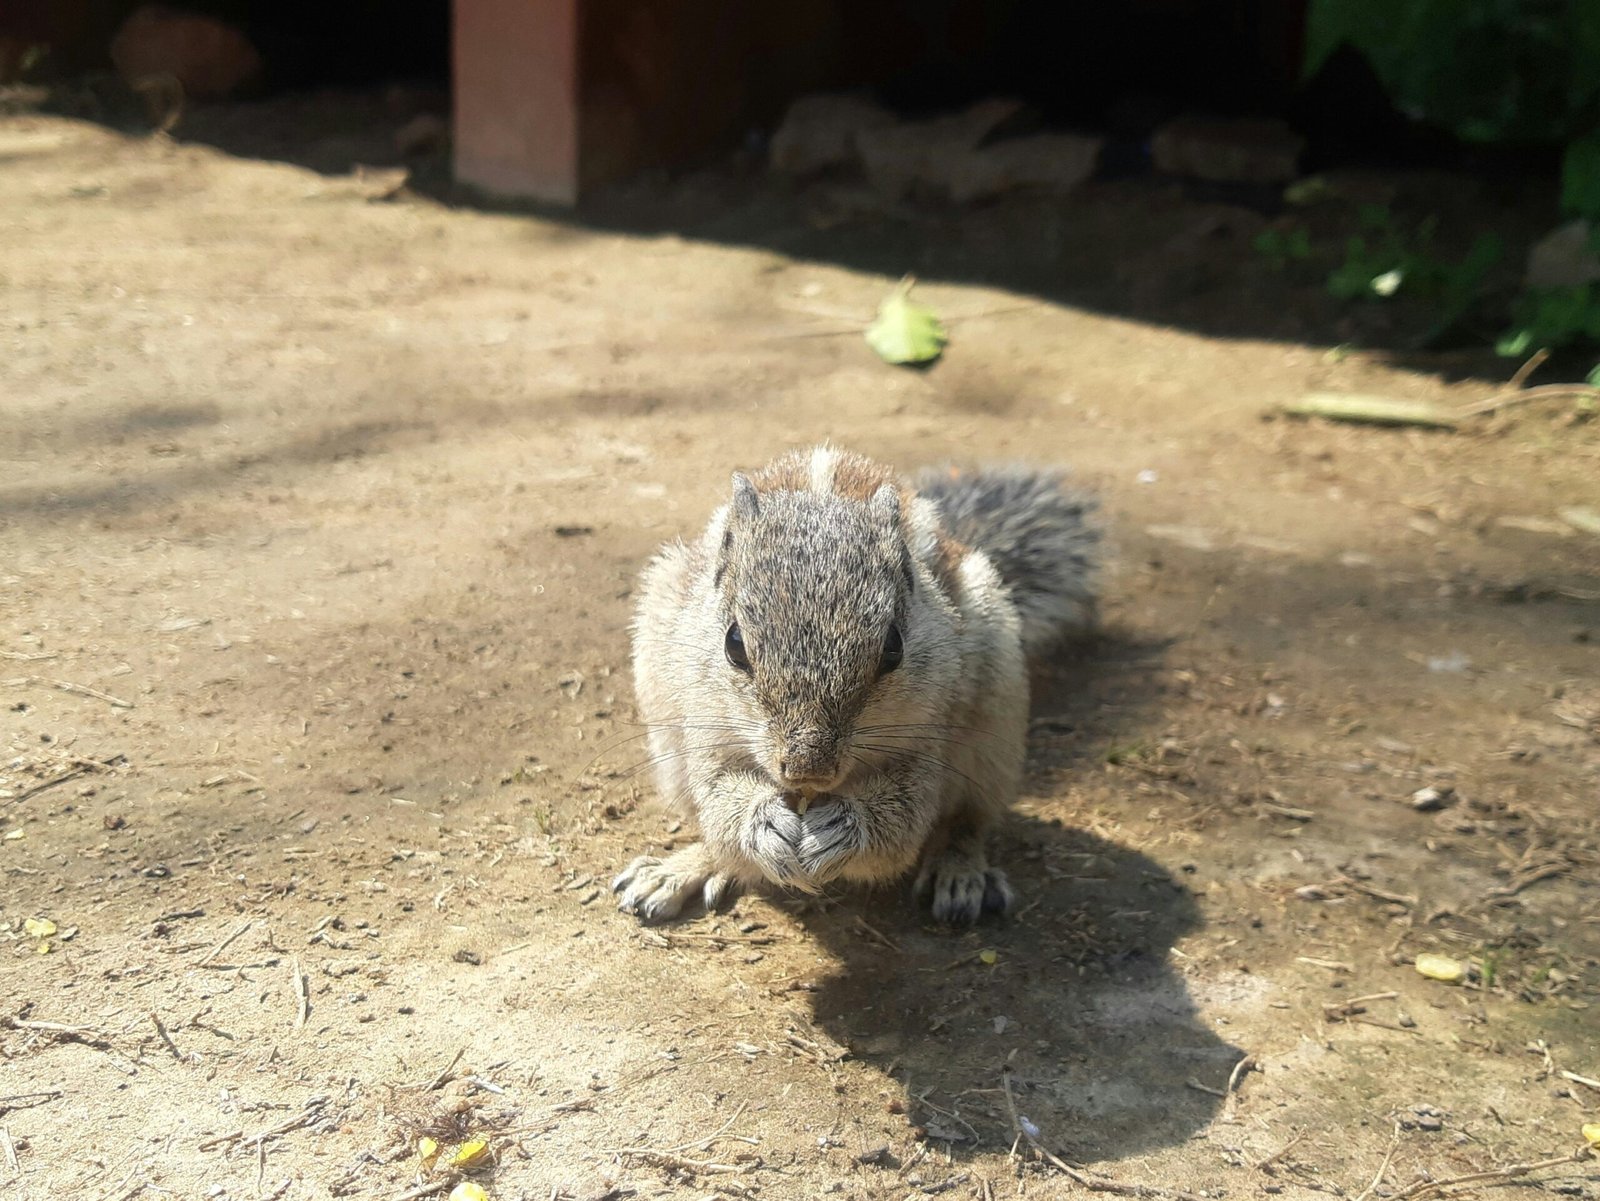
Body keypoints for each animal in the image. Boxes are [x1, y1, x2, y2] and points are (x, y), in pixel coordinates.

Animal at [611, 447, 1100, 927]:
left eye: (894, 647)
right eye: (734, 643)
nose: (808, 770)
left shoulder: (925, 740)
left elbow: (901, 824)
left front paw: (846, 828)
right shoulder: (706, 731)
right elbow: (719, 804)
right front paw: (763, 825)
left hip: (994, 730)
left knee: (968, 820)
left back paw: (961, 872)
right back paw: (681, 870)